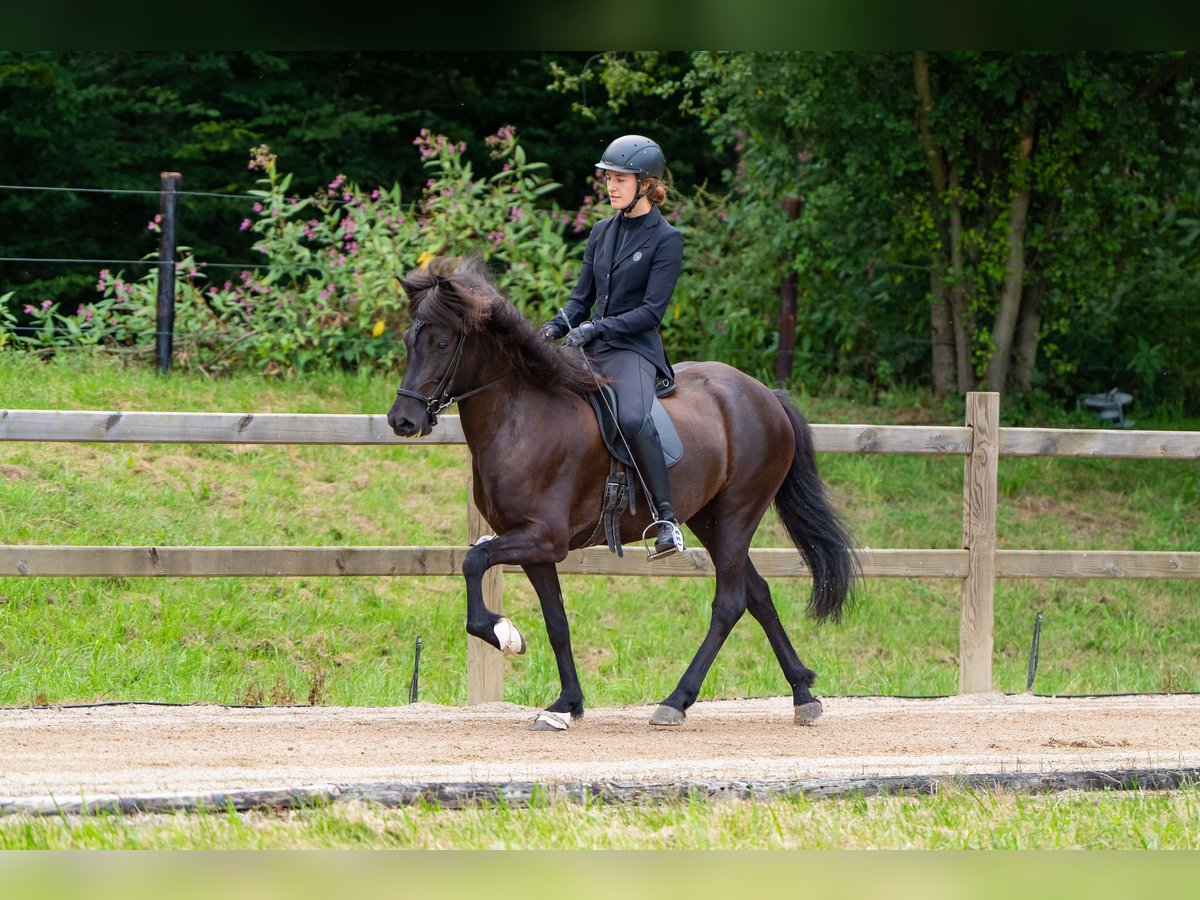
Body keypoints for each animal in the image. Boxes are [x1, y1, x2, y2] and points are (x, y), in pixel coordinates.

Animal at [384, 255, 854, 734]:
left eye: (442, 343)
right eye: (409, 340)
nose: (402, 420)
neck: (522, 417)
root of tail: (767, 395)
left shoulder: (542, 537)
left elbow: (474, 560)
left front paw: (504, 634)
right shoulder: (534, 547)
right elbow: (556, 622)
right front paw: (565, 705)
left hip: (737, 514)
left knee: (730, 603)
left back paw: (676, 701)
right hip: (710, 520)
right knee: (757, 594)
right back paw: (803, 694)